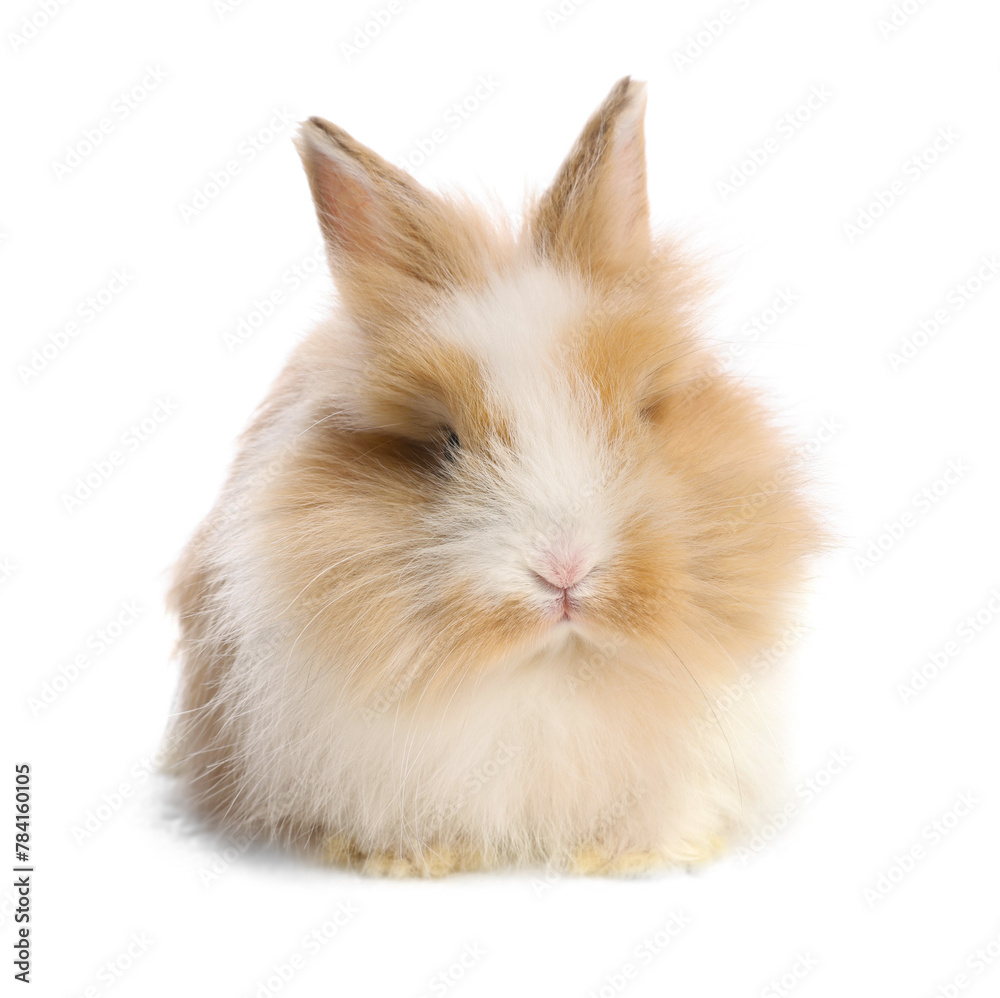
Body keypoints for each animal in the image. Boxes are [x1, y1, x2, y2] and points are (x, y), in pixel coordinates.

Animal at [165, 77, 822, 876]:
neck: (551, 666)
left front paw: (634, 858)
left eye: (640, 413)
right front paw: (412, 861)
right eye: (445, 443)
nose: (565, 571)